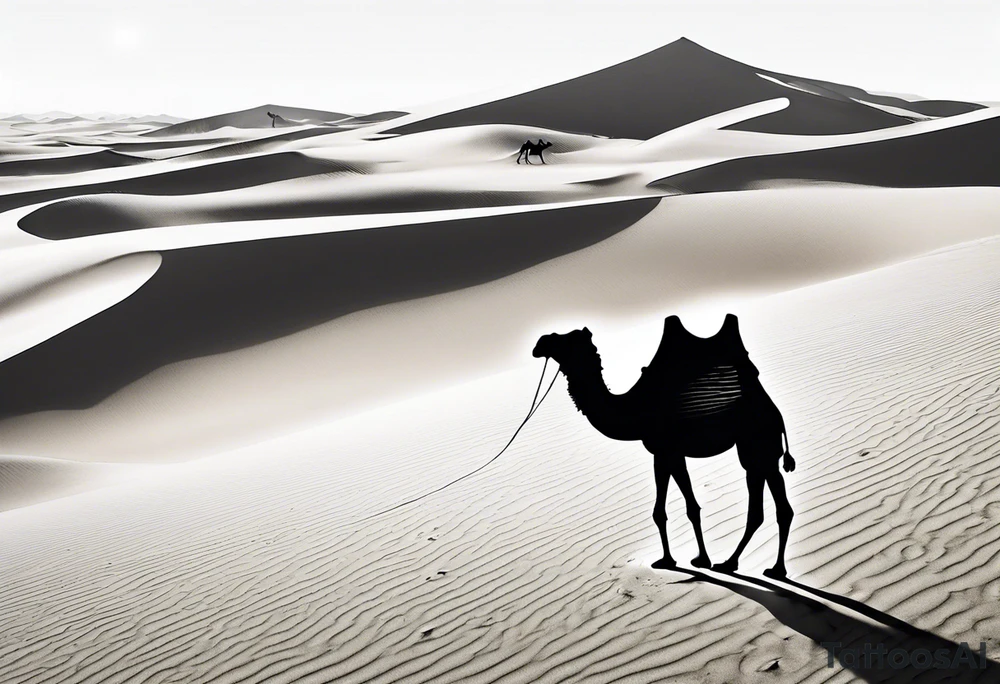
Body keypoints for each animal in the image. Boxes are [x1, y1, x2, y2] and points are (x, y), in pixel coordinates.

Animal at [532, 314, 796, 578]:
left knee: (778, 507)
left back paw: (774, 569)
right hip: (753, 451)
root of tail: (777, 415)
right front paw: (679, 559)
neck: (633, 409)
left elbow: (682, 509)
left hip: (760, 444)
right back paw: (731, 563)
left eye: (568, 339)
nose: (540, 343)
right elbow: (670, 510)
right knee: (760, 507)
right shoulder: (667, 453)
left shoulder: (666, 451)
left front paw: (691, 560)